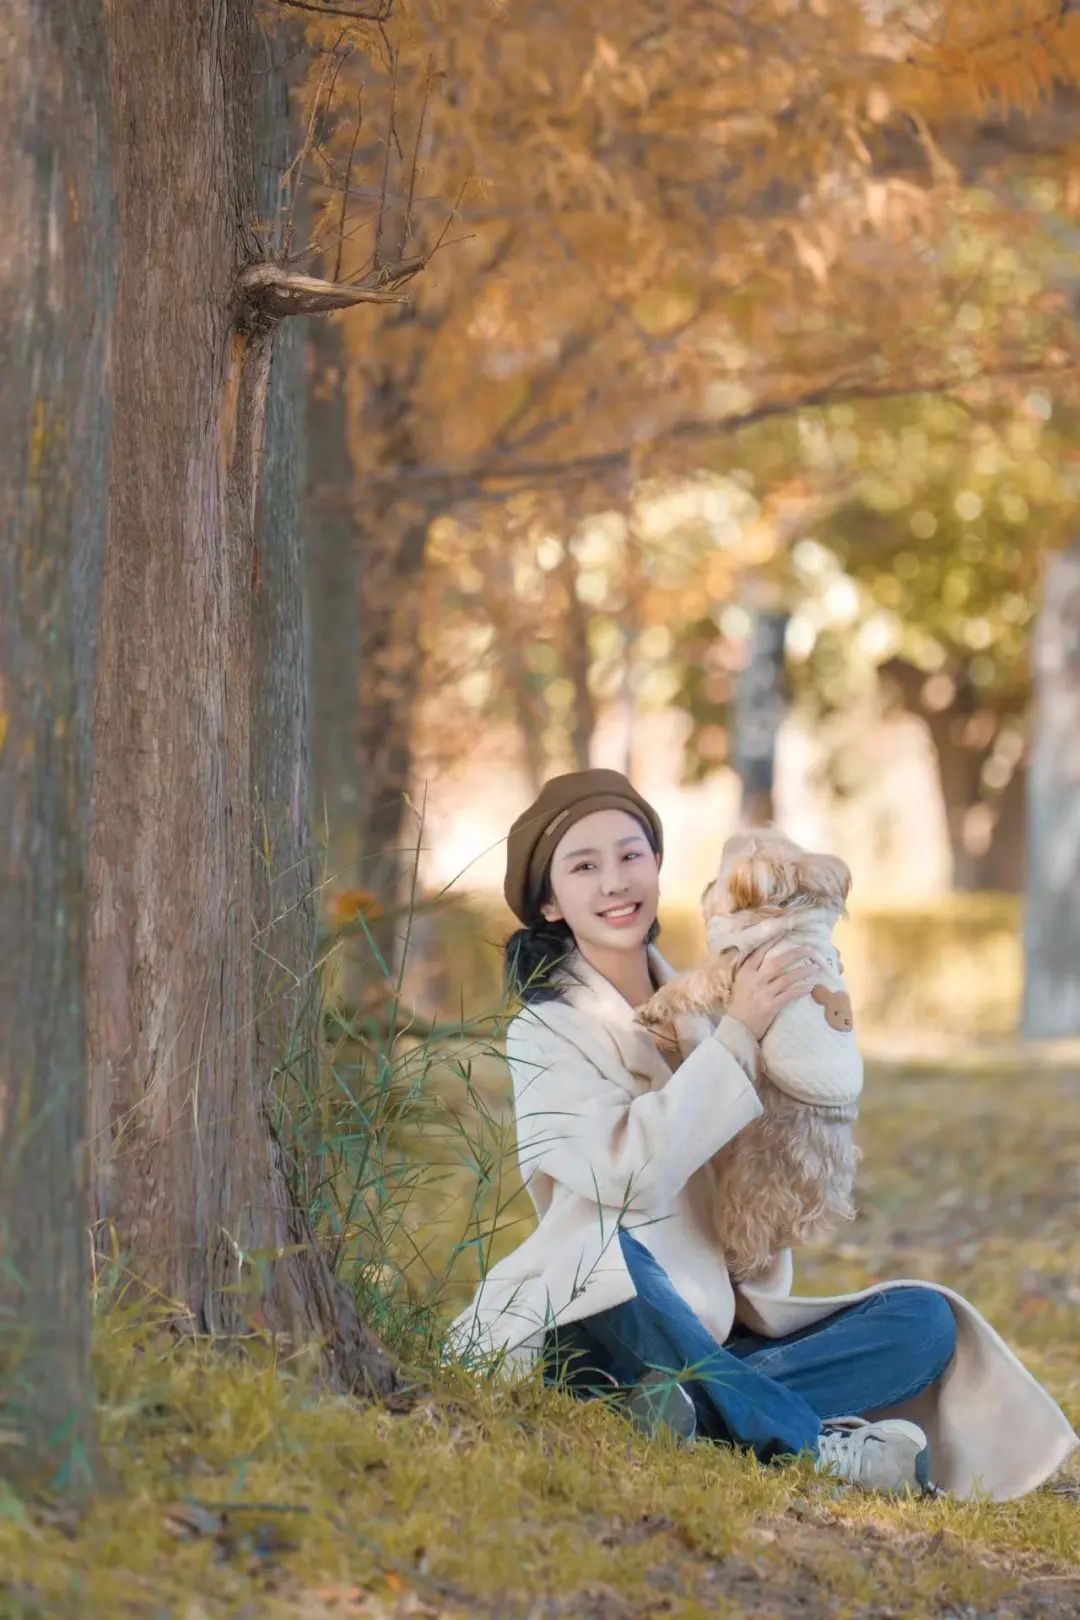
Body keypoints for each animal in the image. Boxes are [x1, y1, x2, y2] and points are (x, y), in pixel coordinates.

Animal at [641, 835, 861, 1276]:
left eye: (719, 876)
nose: (706, 886)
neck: (787, 911)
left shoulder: (726, 964)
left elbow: (688, 984)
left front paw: (655, 1007)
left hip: (754, 1167)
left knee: (747, 1224)